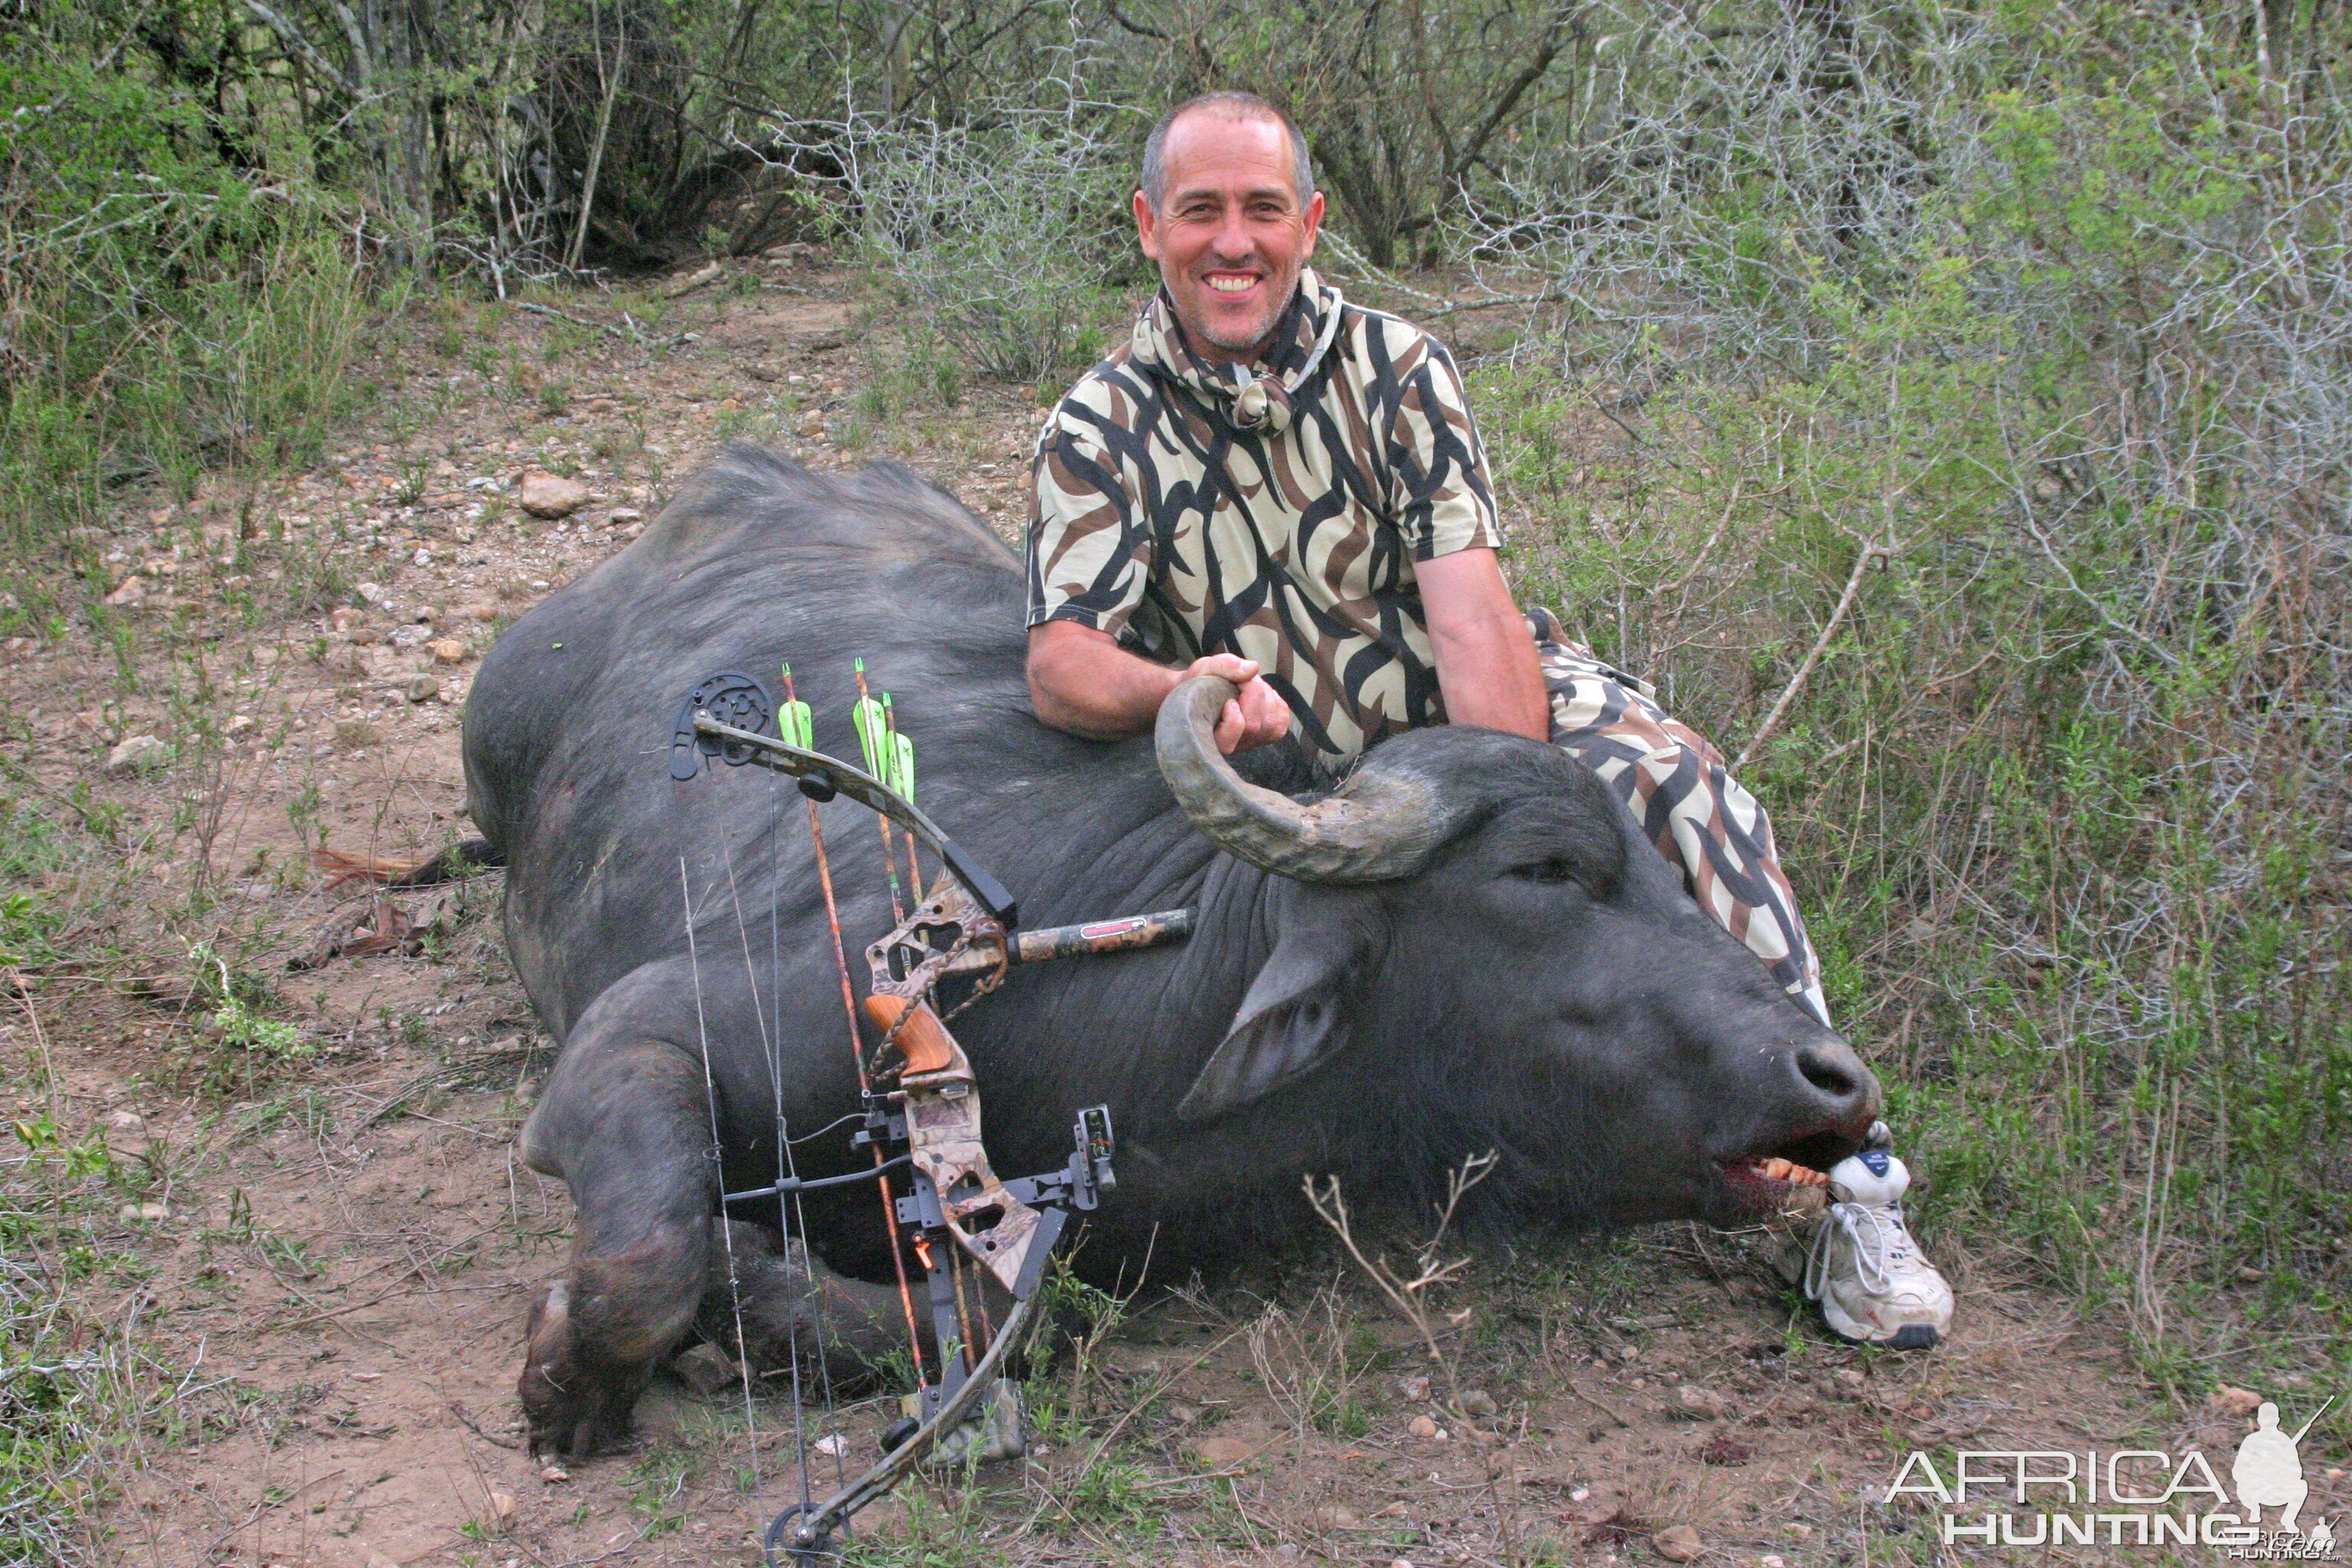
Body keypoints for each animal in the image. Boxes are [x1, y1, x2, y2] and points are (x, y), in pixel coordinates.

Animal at [468, 442, 1881, 1457]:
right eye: (1543, 870)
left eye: (1655, 860)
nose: (1837, 1081)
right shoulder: (646, 1033)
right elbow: (651, 1257)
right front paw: (563, 1384)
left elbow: (996, 1310)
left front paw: (745, 1302)